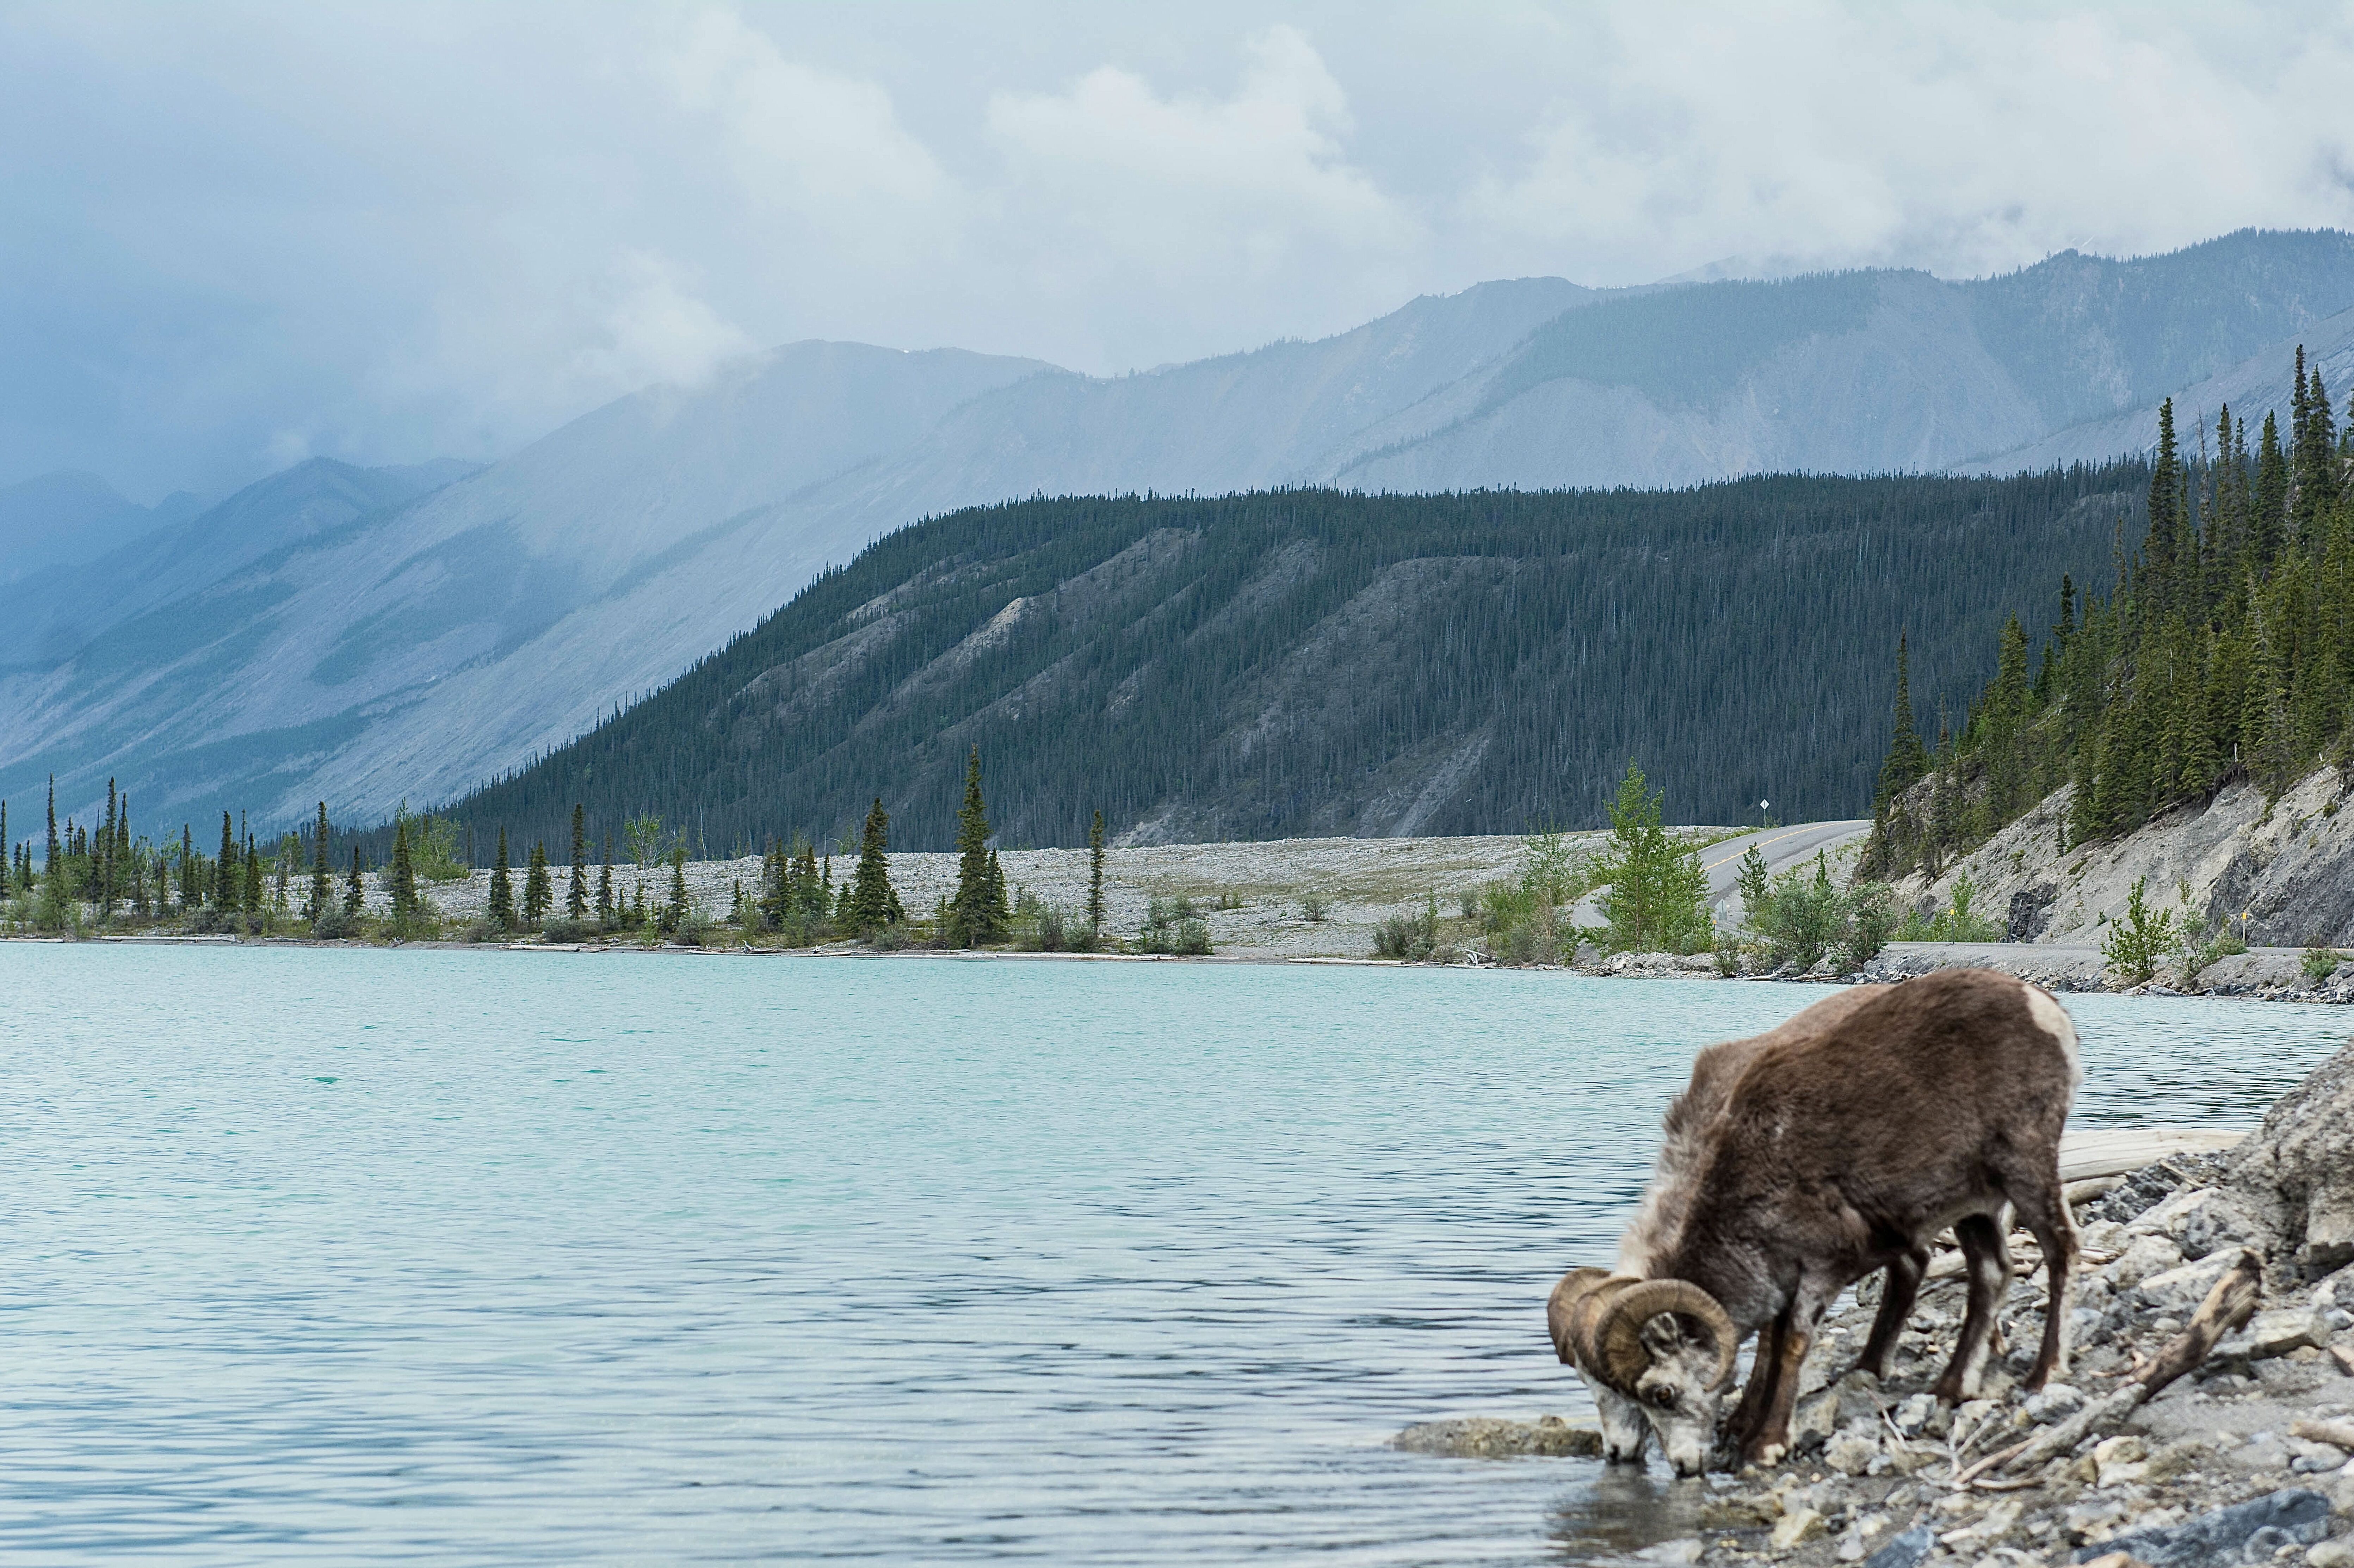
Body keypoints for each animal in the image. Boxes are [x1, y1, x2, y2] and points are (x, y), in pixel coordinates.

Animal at [1553, 970, 2090, 1469]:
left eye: (1660, 1394)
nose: (1683, 1465)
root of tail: (2043, 1007)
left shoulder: (1819, 1269)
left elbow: (1791, 1343)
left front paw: (1766, 1443)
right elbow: (1772, 1341)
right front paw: (1747, 1428)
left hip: (2024, 1167)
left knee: (2061, 1248)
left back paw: (2045, 1373)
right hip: (1974, 1204)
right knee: (1991, 1274)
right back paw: (1950, 1387)